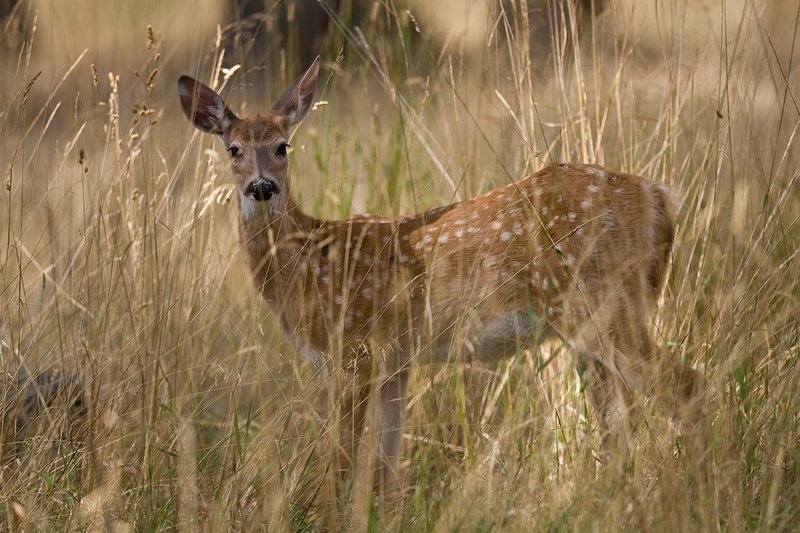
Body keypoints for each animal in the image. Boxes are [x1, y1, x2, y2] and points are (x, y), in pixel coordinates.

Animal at [177, 60, 704, 495]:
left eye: (283, 146)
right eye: (233, 148)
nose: (262, 187)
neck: (308, 265)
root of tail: (658, 195)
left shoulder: (353, 352)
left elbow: (341, 465)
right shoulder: (394, 364)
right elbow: (386, 472)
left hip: (604, 304)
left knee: (684, 386)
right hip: (593, 325)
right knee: (622, 421)